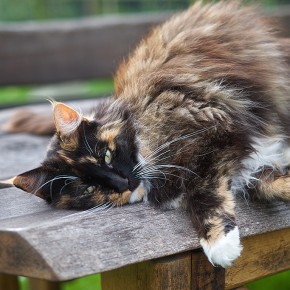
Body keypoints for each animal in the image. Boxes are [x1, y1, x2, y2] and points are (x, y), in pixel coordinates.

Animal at [2, 0, 290, 268]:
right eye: (88, 188)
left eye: (107, 156)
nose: (123, 184)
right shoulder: (241, 153)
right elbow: (262, 183)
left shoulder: (217, 127)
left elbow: (202, 186)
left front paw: (220, 244)